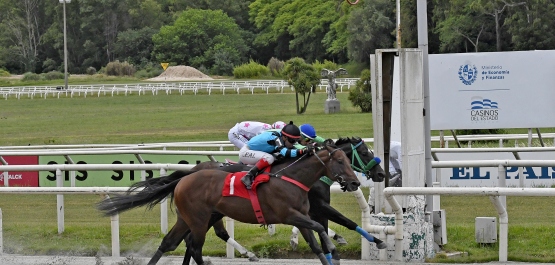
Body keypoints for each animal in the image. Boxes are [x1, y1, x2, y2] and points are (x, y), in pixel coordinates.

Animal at [98, 144, 362, 264]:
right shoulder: (288, 215)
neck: (291, 178)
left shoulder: (302, 215)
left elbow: (315, 244)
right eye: (340, 161)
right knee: (194, 247)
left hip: (191, 218)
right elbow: (319, 227)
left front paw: (330, 250)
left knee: (170, 243)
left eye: (349, 160)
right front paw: (334, 248)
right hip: (199, 219)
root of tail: (184, 178)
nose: (355, 182)